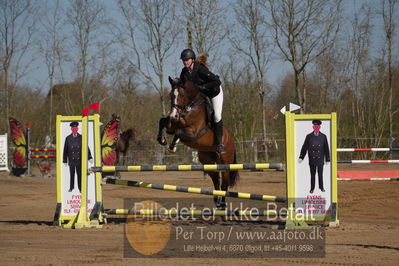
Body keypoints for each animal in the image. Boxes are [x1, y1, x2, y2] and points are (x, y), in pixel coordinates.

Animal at [158, 76, 239, 209]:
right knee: (216, 179)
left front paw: (172, 146)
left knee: (224, 183)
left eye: (181, 95)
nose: (174, 115)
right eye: (171, 95)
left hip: (225, 162)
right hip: (208, 161)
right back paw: (217, 201)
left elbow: (179, 132)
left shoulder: (193, 132)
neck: (189, 107)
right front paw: (162, 139)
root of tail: (231, 138)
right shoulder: (172, 125)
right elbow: (163, 121)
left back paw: (222, 203)